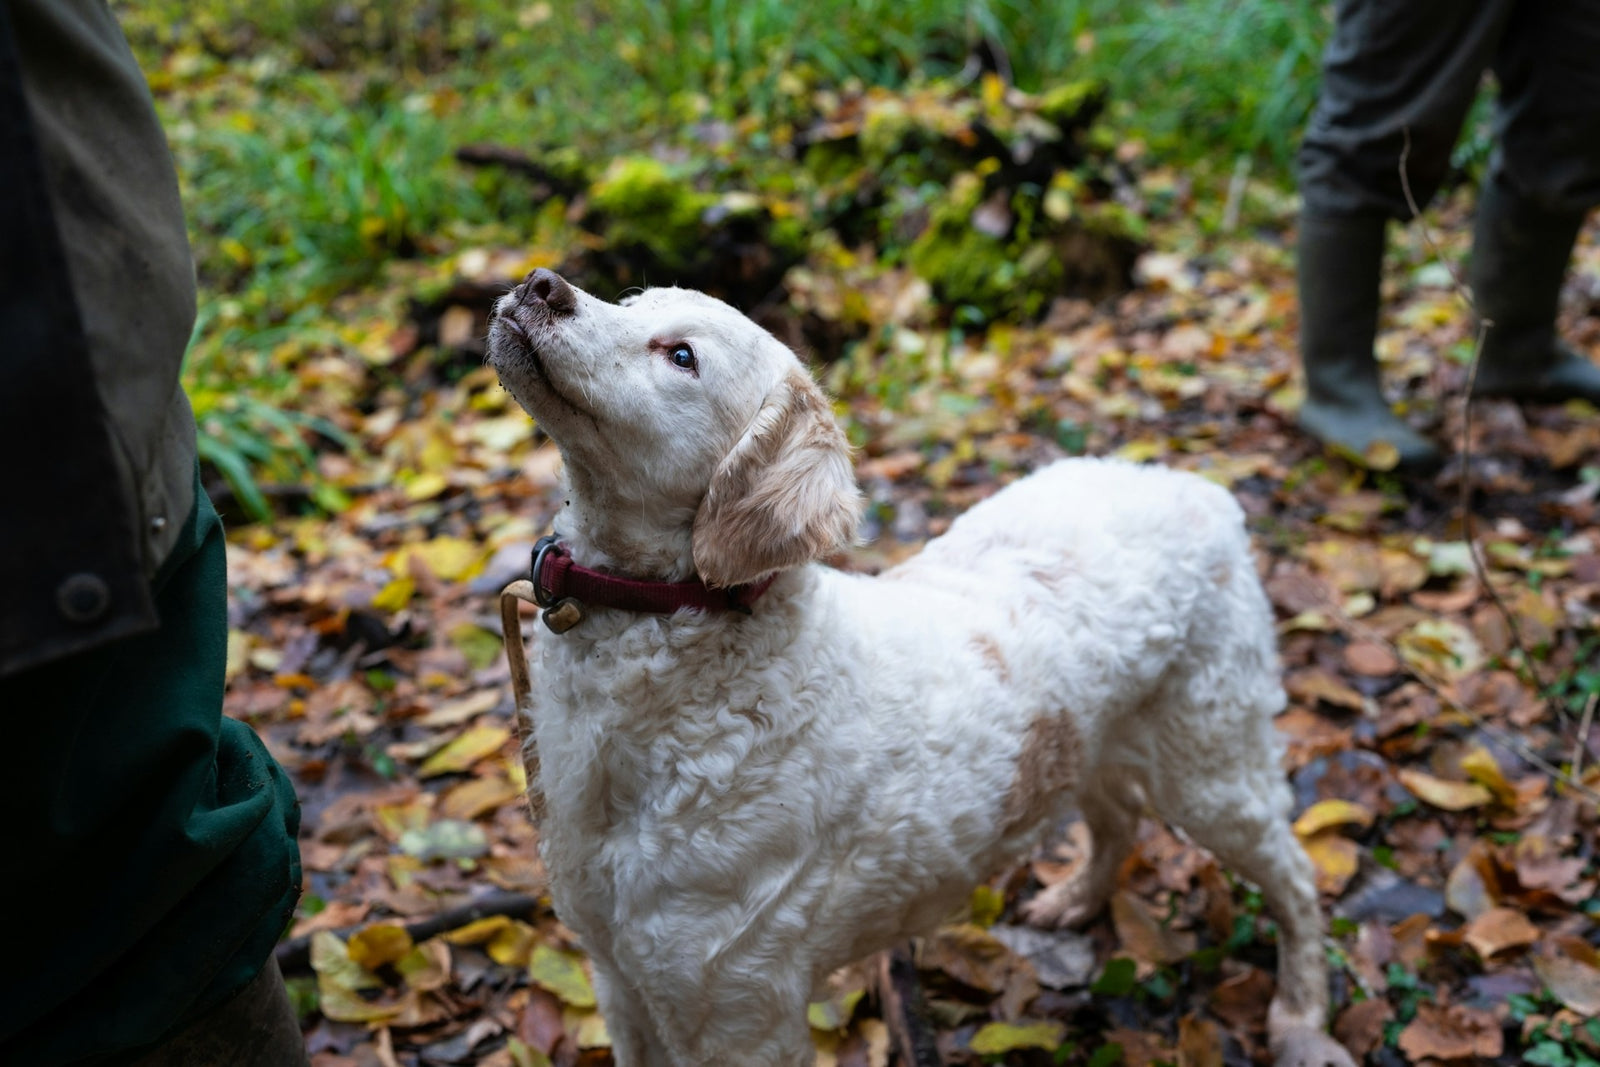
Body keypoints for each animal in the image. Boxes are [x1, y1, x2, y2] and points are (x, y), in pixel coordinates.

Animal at [486, 268, 1350, 1067]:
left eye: (682, 356)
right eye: (630, 302)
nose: (540, 283)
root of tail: (1200, 490)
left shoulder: (738, 1011)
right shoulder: (619, 979)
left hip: (1212, 765)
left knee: (1295, 876)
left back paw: (1302, 1016)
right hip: (1093, 737)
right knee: (1117, 816)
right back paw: (1077, 898)